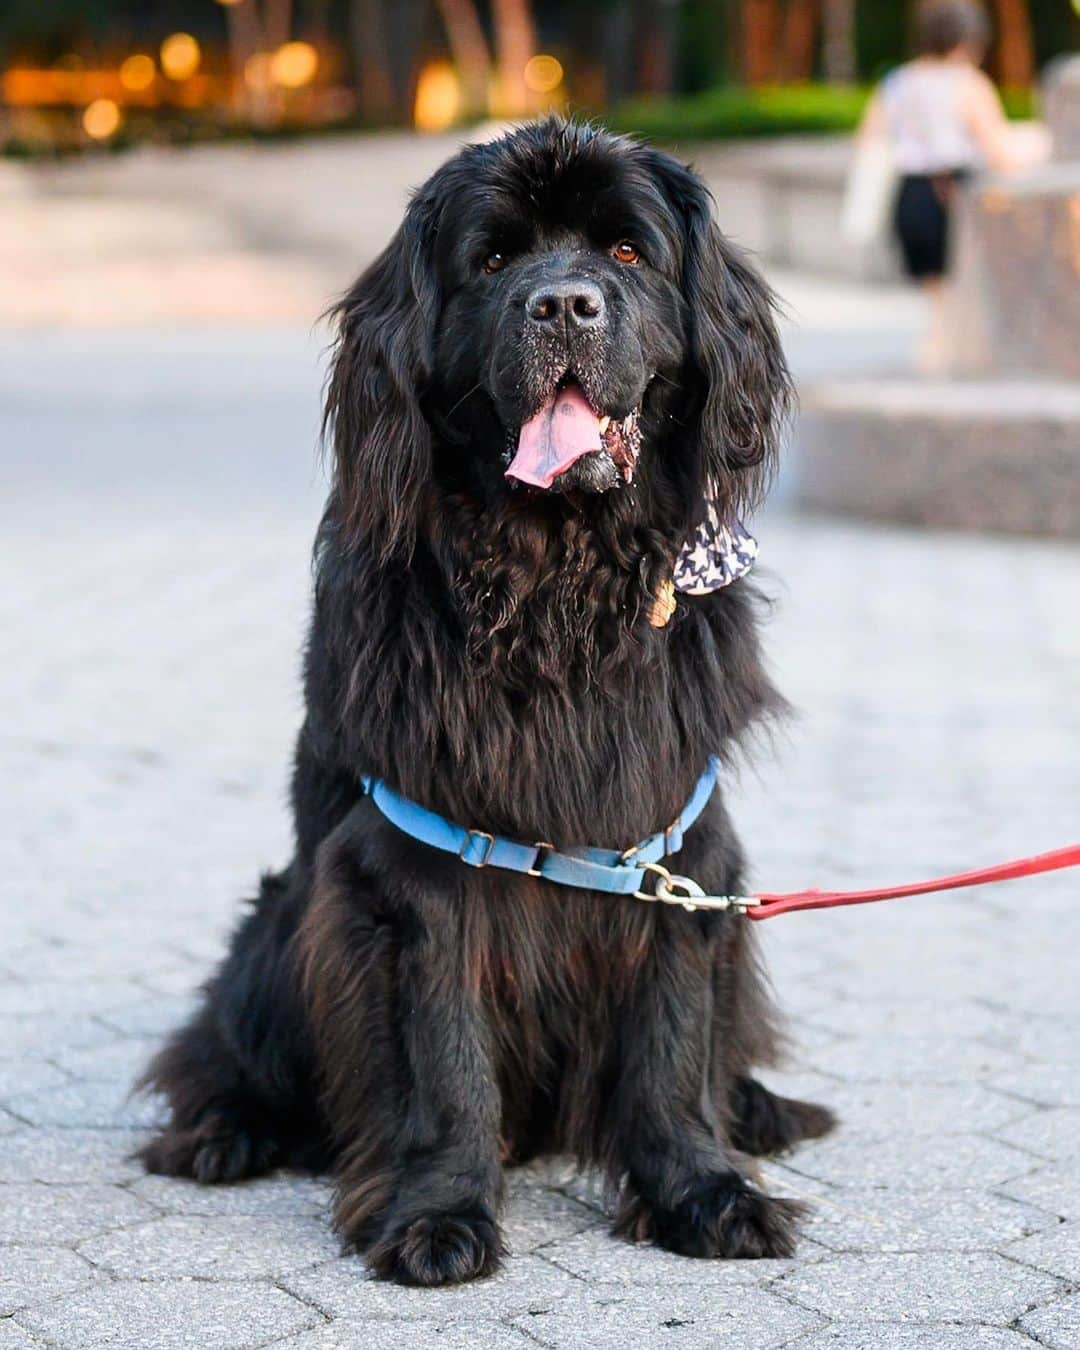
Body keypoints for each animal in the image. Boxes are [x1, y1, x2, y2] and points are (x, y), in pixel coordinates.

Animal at [139, 118, 837, 1285]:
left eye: (627, 251)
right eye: (497, 259)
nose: (563, 306)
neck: (557, 584)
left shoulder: (678, 851)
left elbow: (672, 1042)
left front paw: (705, 1191)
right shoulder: (413, 868)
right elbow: (443, 1060)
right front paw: (440, 1215)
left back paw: (760, 1110)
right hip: (281, 922)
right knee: (225, 1047)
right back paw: (225, 1131)